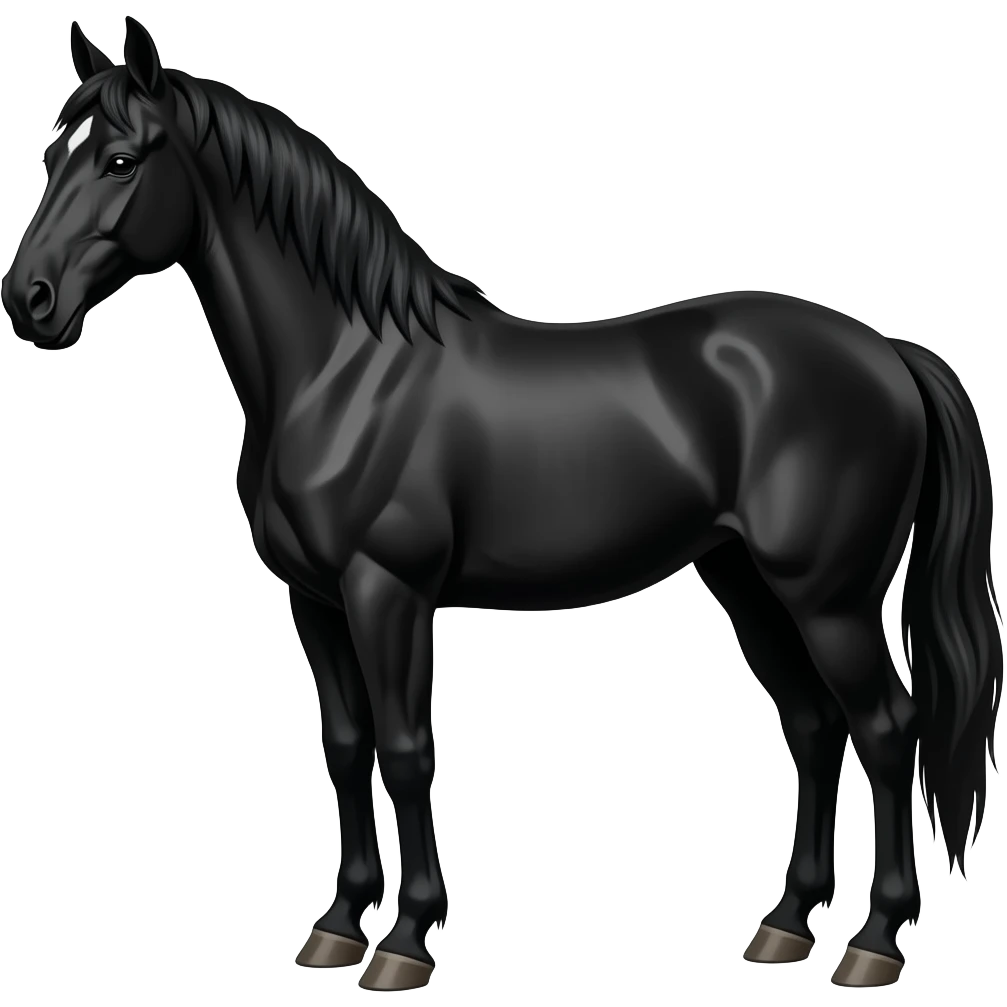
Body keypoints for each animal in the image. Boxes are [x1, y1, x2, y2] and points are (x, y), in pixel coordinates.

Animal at [3, 18, 1001, 991]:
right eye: (53, 153)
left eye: (121, 159)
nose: (29, 300)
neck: (343, 370)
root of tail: (887, 352)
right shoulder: (315, 599)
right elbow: (346, 744)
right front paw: (335, 927)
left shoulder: (388, 592)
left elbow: (407, 749)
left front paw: (405, 940)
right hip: (747, 584)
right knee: (814, 726)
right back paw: (785, 926)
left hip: (829, 600)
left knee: (886, 729)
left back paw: (874, 940)